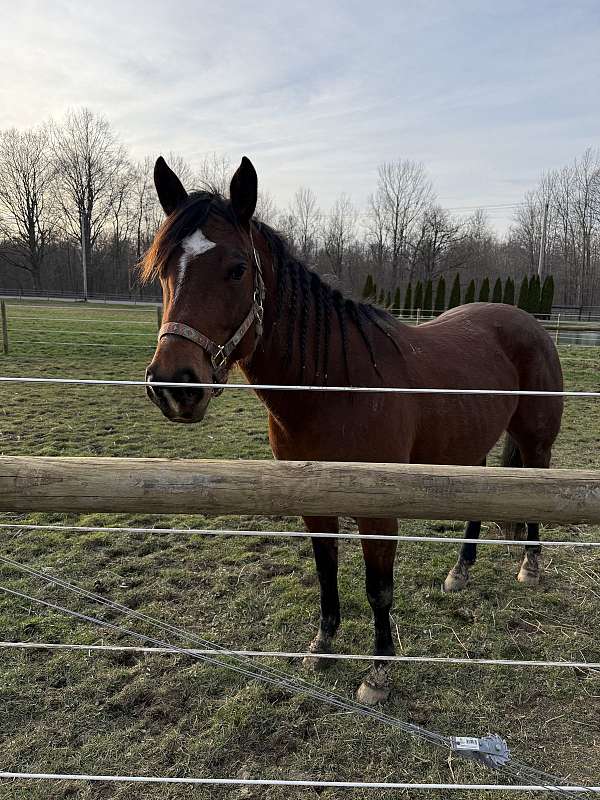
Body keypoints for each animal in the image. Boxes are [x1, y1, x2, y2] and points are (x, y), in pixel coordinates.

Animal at [141, 155, 564, 705]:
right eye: (162, 270)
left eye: (237, 269)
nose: (175, 385)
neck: (334, 387)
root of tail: (530, 322)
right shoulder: (314, 501)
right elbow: (326, 569)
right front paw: (323, 645)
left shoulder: (378, 508)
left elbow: (378, 588)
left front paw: (378, 673)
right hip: (470, 444)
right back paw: (460, 571)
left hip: (535, 440)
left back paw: (530, 567)